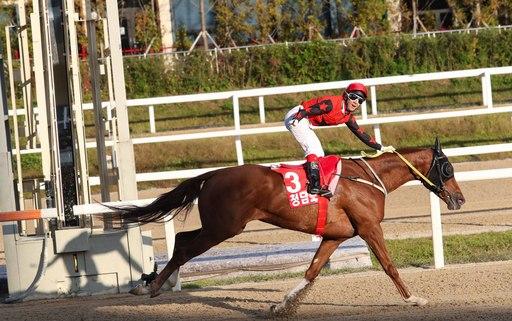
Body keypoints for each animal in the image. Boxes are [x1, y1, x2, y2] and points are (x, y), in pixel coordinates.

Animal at [115, 138, 464, 312]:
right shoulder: (368, 228)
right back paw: (150, 287)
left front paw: (283, 306)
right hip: (224, 227)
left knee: (183, 239)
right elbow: (389, 266)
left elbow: (312, 271)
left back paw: (150, 283)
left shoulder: (336, 235)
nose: (459, 199)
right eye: (447, 168)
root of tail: (213, 175)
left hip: (219, 226)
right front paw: (413, 299)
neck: (368, 178)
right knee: (185, 247)